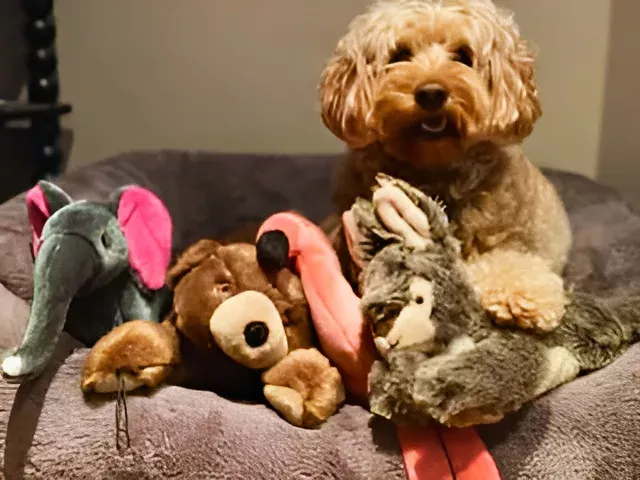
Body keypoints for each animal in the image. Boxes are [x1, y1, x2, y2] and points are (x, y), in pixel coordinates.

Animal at [84, 239, 348, 428]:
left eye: (287, 317)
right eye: (226, 287)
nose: (257, 330)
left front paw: (304, 388)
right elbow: (150, 339)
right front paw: (121, 361)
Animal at [318, 0, 572, 332]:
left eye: (463, 55)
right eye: (400, 55)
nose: (431, 93)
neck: (435, 167)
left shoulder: (516, 243)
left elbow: (508, 262)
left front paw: (518, 295)